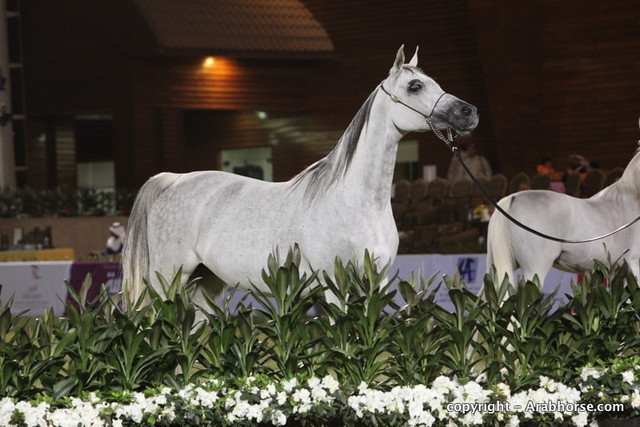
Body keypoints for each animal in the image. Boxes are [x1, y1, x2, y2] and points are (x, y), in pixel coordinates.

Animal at [122, 45, 479, 309]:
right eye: (414, 86)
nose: (469, 112)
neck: (355, 201)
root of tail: (172, 180)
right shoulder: (334, 285)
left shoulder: (374, 282)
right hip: (166, 281)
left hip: (204, 285)